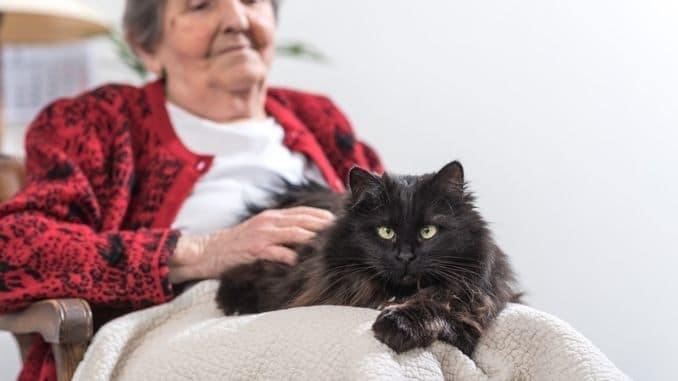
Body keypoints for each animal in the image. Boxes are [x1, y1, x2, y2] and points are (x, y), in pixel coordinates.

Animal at [218, 160, 520, 354]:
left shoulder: (470, 308)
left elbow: (435, 306)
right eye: (386, 232)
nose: (405, 256)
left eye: (428, 231)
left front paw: (397, 326)